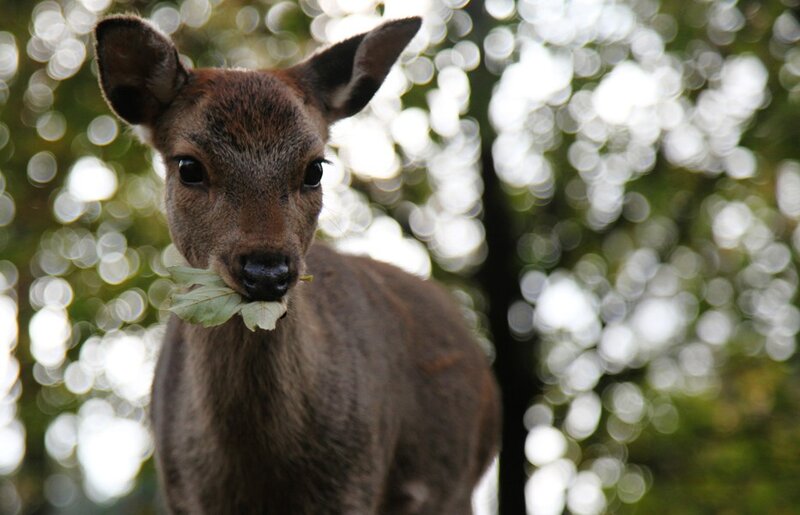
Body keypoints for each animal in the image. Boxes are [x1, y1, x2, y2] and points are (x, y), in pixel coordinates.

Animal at [93, 14, 500, 515]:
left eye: (315, 168)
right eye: (188, 166)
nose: (266, 271)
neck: (260, 479)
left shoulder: (356, 482)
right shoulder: (181, 494)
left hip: (457, 486)